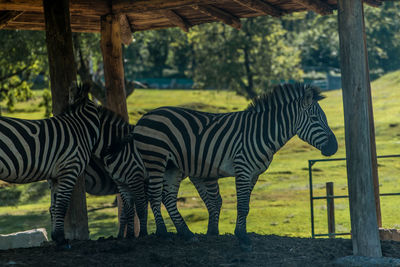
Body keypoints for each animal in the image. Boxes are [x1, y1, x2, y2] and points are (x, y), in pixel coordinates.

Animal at [0, 84, 100, 247]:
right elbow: (62, 205)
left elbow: (54, 207)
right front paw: (61, 239)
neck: (80, 128)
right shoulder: (69, 169)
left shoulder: (55, 176)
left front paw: (55, 237)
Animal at [131, 82, 338, 250]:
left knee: (168, 197)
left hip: (172, 166)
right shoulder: (243, 169)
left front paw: (242, 235)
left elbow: (246, 206)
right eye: (315, 119)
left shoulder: (254, 174)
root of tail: (145, 117)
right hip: (156, 159)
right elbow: (242, 205)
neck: (262, 133)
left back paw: (186, 234)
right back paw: (163, 233)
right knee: (154, 195)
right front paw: (243, 238)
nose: (334, 148)